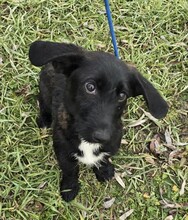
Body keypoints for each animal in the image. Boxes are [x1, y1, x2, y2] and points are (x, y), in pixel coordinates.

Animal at [29, 40, 169, 201]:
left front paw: (104, 170)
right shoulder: (63, 153)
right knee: (42, 101)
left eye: (122, 95)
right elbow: (70, 171)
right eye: (90, 87)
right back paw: (44, 119)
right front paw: (69, 188)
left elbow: (103, 158)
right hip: (45, 91)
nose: (102, 137)